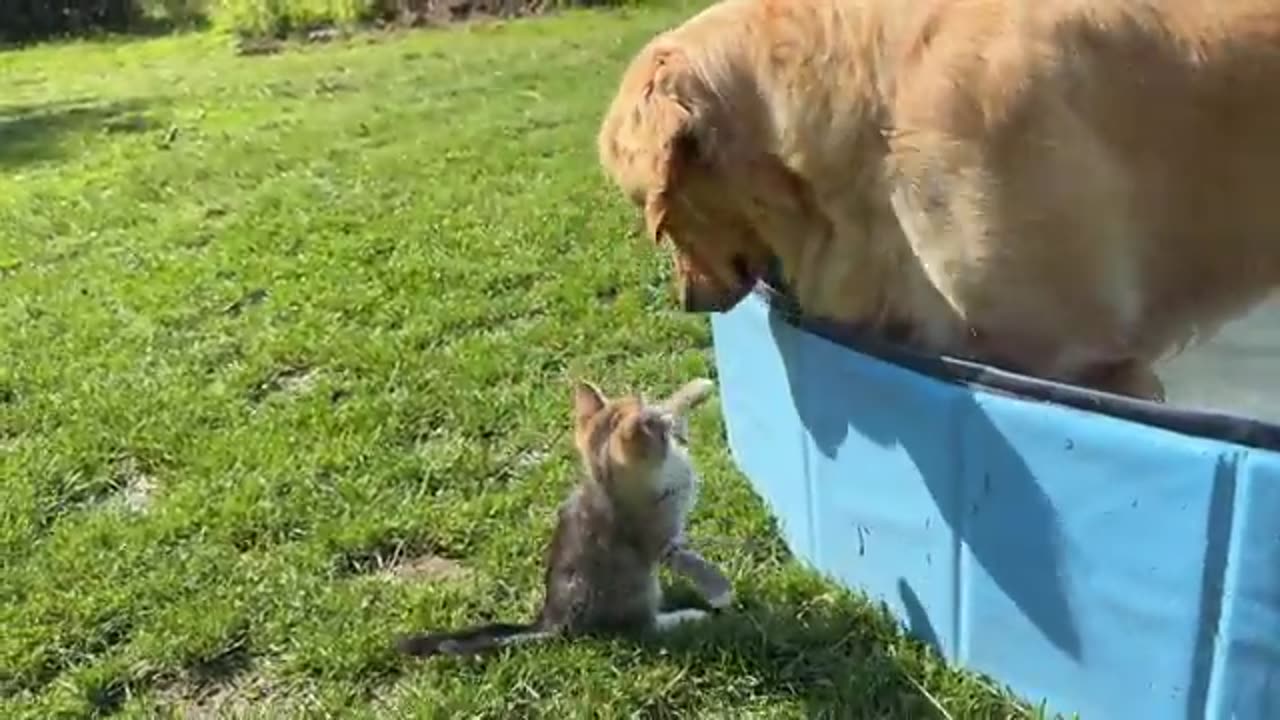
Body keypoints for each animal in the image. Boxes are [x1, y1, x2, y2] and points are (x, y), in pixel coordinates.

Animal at [391, 376, 732, 655]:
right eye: (651, 425)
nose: (654, 414)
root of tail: (552, 621)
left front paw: (694, 390)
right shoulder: (660, 538)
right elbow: (692, 560)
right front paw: (719, 589)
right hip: (637, 590)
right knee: (638, 627)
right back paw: (686, 617)